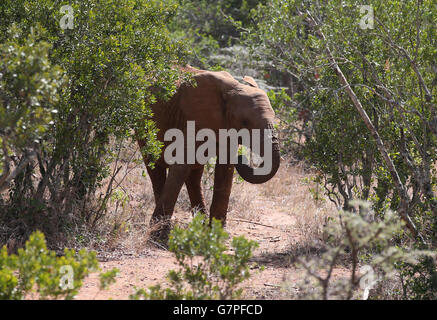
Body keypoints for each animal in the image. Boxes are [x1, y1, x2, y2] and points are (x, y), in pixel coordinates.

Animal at [137, 66, 280, 241]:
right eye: (245, 122)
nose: (242, 157)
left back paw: (201, 225)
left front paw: (217, 233)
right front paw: (159, 236)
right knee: (156, 169)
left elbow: (225, 169)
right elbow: (181, 165)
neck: (232, 89)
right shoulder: (192, 119)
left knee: (194, 175)